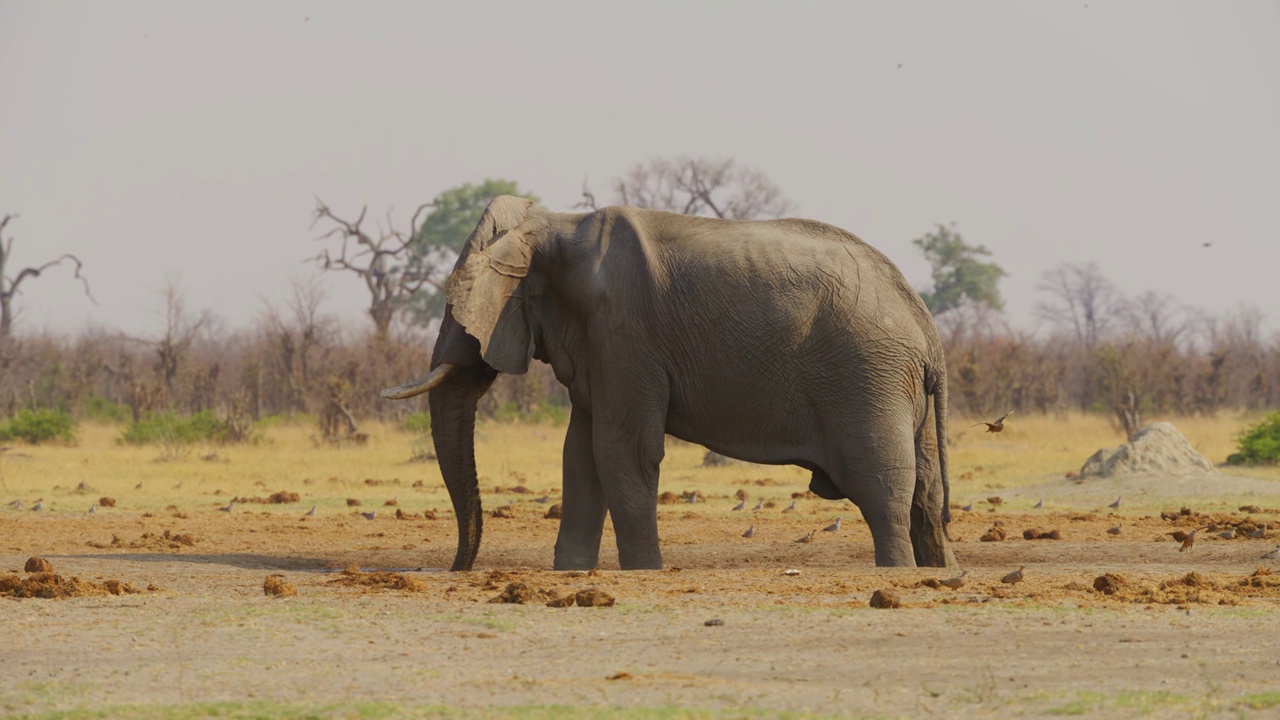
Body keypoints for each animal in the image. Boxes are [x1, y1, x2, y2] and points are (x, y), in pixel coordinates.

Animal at [384, 193, 957, 568]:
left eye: (458, 304)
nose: (456, 570)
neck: (553, 222)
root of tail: (928, 331)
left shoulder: (624, 332)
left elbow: (621, 450)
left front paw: (644, 571)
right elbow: (581, 455)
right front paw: (572, 572)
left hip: (868, 377)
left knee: (881, 489)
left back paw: (897, 570)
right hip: (896, 386)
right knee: (924, 495)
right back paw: (937, 571)